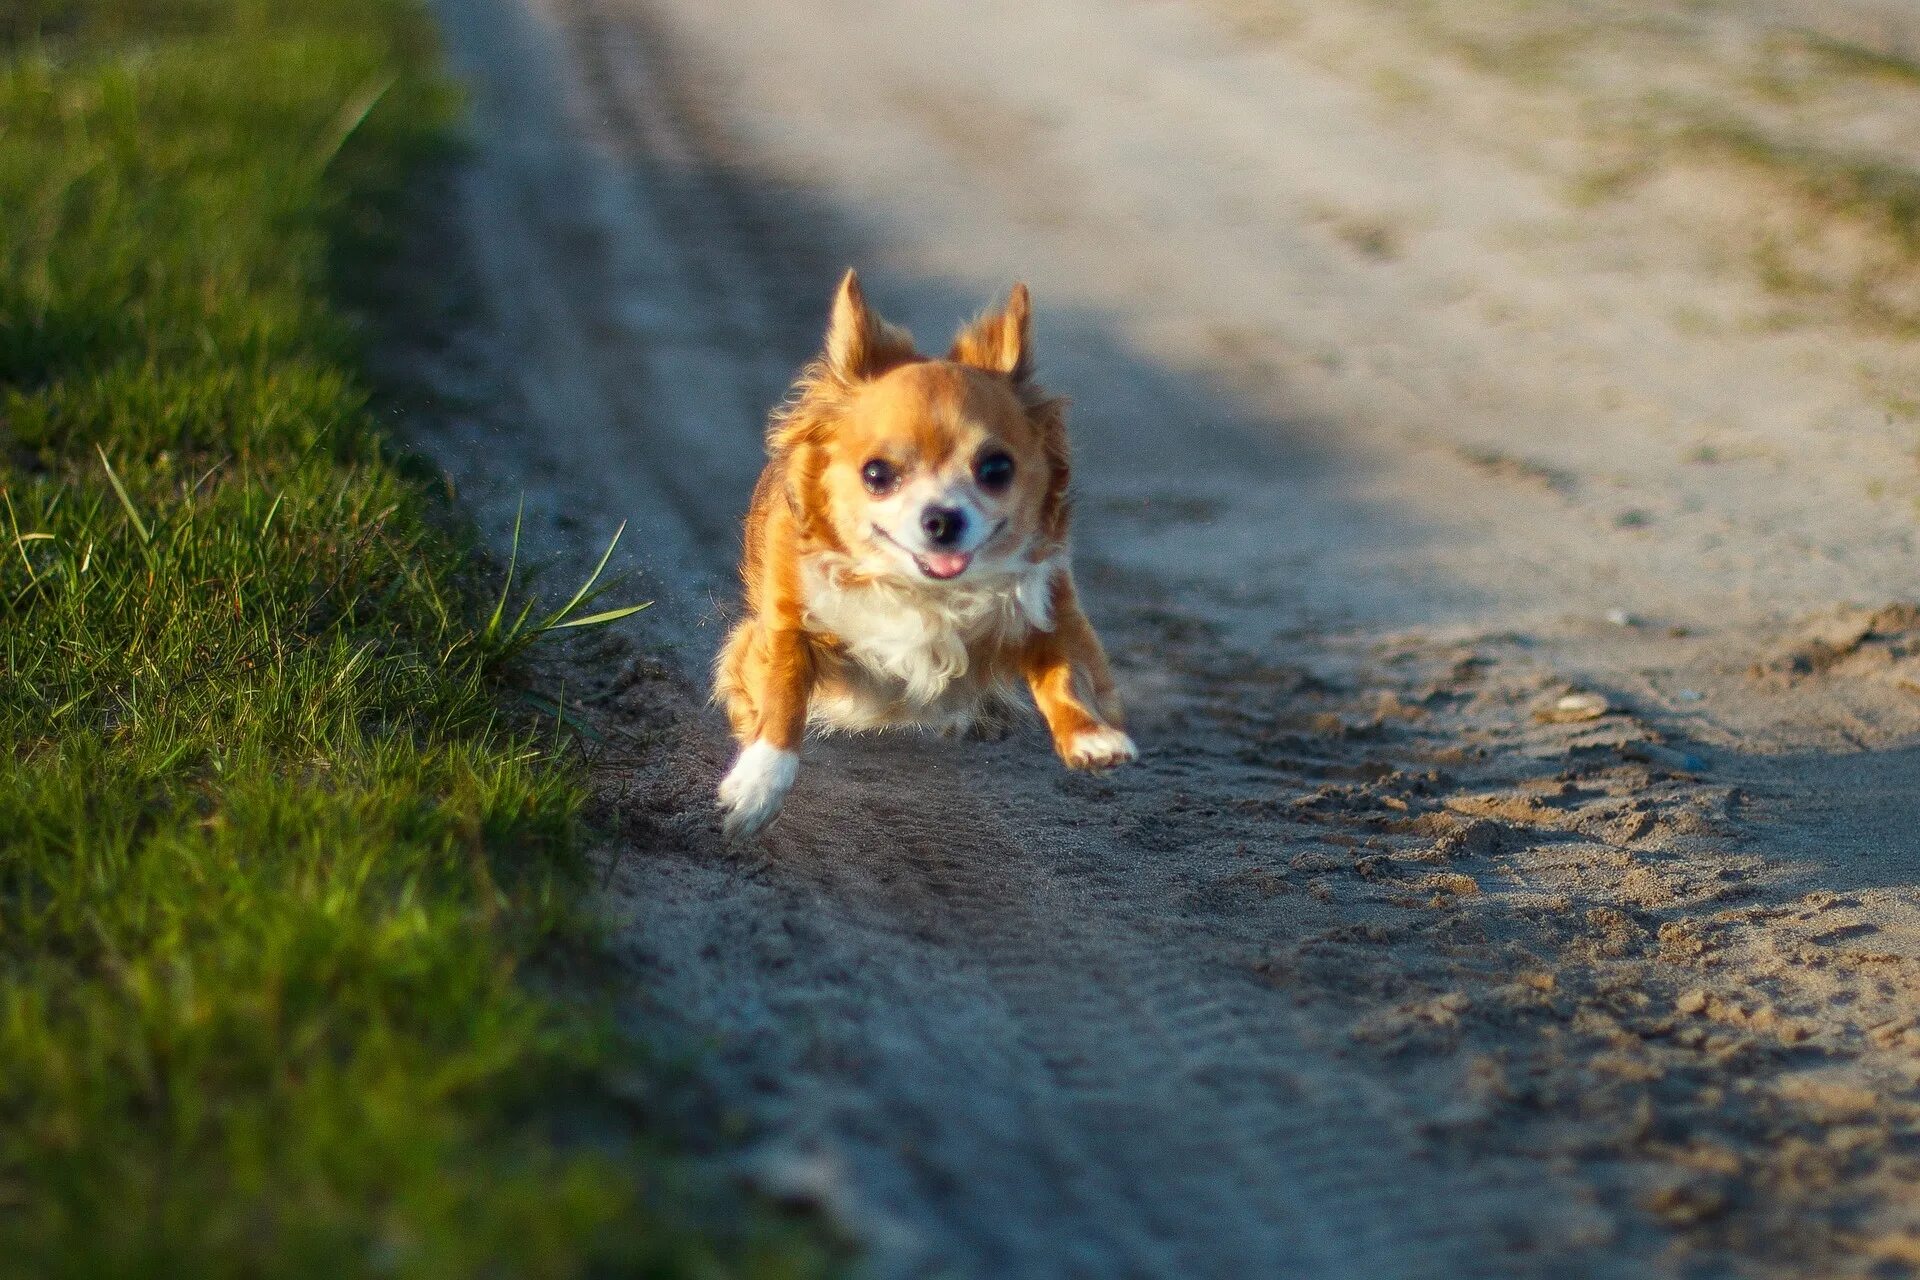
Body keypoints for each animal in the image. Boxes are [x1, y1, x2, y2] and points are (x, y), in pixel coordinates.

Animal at [721, 270, 1136, 840]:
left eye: (996, 469)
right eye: (876, 474)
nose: (942, 519)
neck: (925, 592)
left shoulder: (1047, 603)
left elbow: (1066, 670)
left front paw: (1091, 736)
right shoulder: (787, 621)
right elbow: (781, 695)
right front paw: (757, 786)